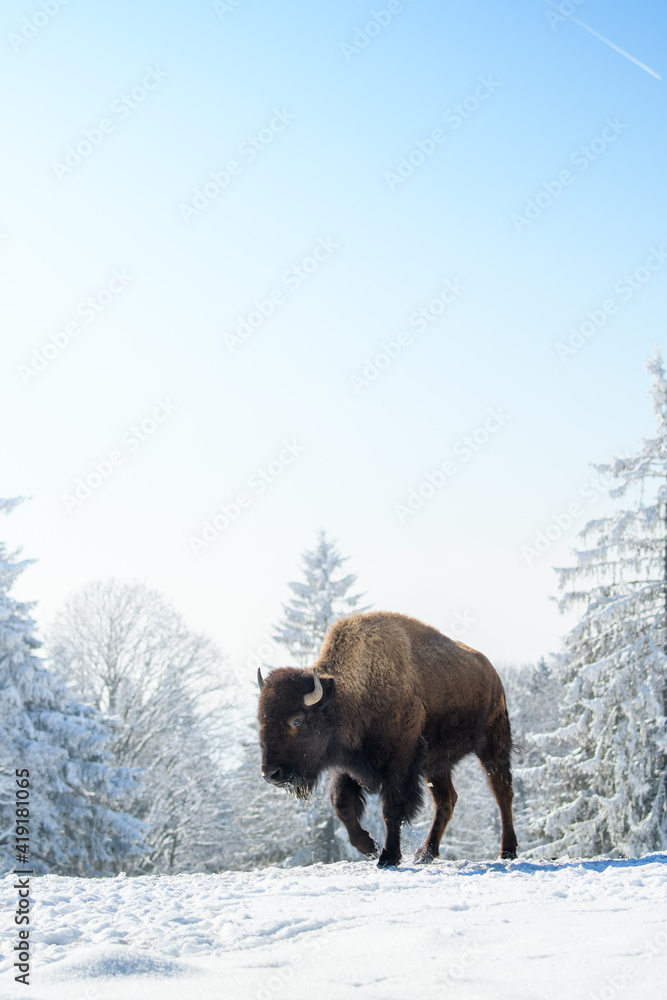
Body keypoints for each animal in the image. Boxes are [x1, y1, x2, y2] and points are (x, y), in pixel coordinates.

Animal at [257, 611, 517, 867]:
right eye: (261, 719)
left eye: (297, 720)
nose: (271, 774)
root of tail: (492, 672)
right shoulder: (347, 764)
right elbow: (342, 806)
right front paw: (369, 847)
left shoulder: (400, 762)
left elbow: (391, 808)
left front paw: (388, 856)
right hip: (436, 763)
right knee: (446, 800)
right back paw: (425, 854)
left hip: (493, 742)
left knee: (502, 792)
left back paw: (507, 851)